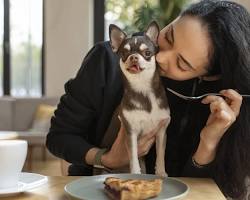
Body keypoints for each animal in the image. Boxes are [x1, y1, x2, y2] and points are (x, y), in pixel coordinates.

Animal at [109, 21, 170, 176]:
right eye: (124, 53)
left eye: (147, 53)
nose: (134, 57)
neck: (143, 90)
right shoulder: (131, 132)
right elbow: (133, 155)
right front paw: (136, 173)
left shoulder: (161, 132)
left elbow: (161, 154)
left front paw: (161, 173)